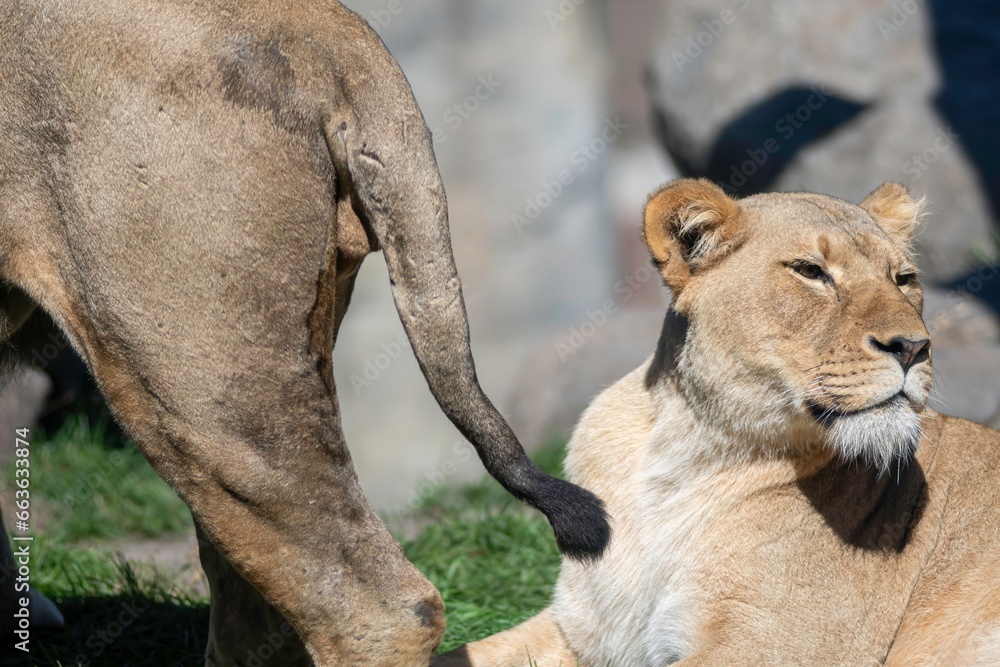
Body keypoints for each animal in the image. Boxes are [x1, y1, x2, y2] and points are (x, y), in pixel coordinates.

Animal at [437, 179, 1000, 666]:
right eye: (810, 271)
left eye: (903, 279)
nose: (914, 347)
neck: (684, 452)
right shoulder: (585, 627)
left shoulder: (784, 647)